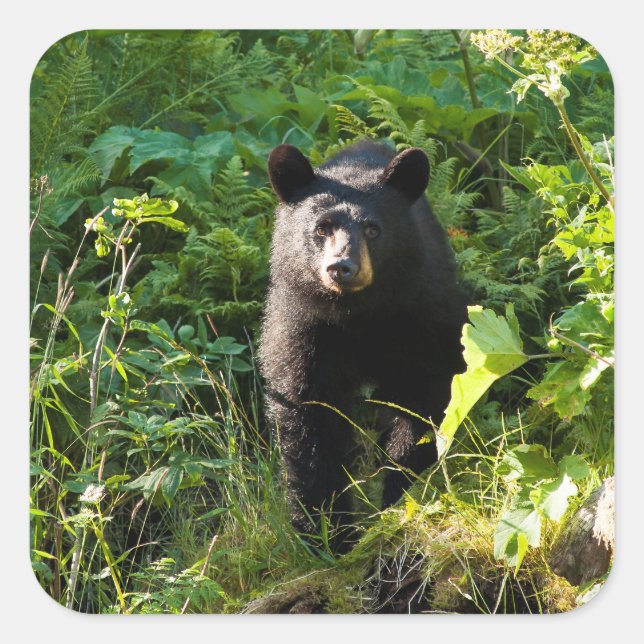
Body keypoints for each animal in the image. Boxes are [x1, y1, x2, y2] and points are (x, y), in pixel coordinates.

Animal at [259, 140, 467, 548]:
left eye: (373, 229)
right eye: (321, 228)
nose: (341, 267)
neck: (359, 315)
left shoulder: (423, 316)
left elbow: (424, 398)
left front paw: (398, 493)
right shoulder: (303, 328)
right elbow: (307, 414)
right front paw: (327, 531)